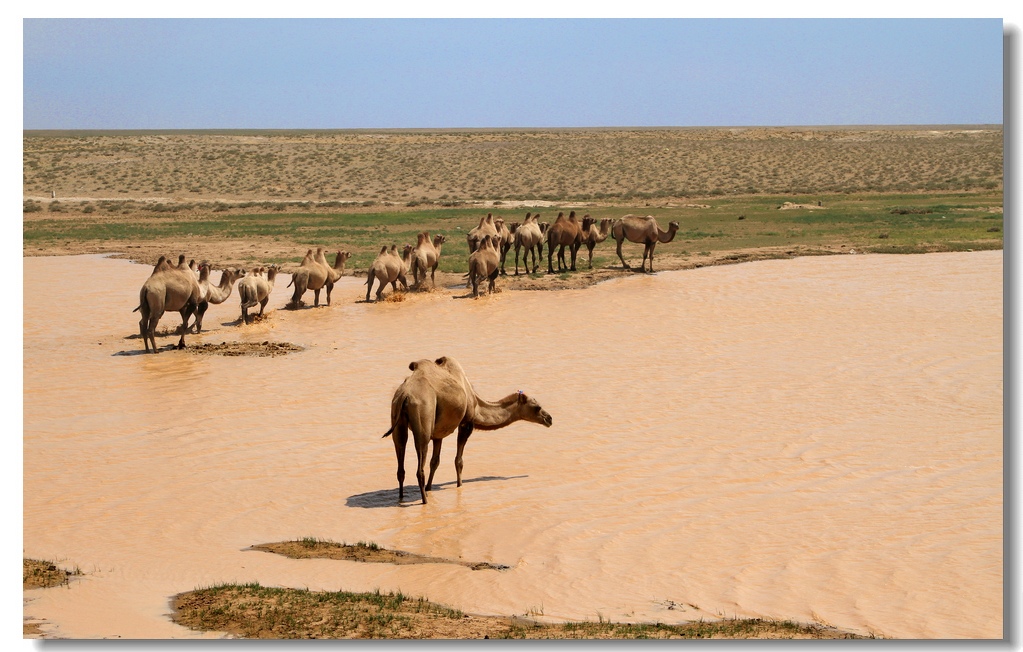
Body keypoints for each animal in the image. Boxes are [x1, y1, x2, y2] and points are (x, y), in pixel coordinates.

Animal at [380, 356, 552, 503]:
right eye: (537, 407)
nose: (549, 418)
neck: (475, 402)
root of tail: (405, 395)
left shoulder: (438, 433)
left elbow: (435, 461)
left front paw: (429, 488)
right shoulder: (466, 423)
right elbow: (459, 460)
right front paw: (460, 485)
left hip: (397, 417)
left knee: (400, 459)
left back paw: (401, 498)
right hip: (423, 415)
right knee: (419, 463)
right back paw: (424, 501)